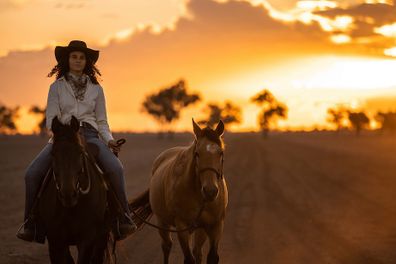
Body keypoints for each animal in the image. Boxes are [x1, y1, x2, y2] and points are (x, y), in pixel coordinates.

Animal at [36, 117, 113, 264]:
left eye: (80, 152)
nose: (68, 195)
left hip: (101, 237)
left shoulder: (87, 239)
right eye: (53, 153)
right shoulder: (55, 241)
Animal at [131, 120, 229, 264]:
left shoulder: (215, 225)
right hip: (162, 222)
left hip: (200, 229)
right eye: (197, 153)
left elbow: (211, 257)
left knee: (197, 251)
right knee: (166, 246)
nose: (210, 191)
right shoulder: (181, 225)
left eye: (221, 153)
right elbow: (189, 258)